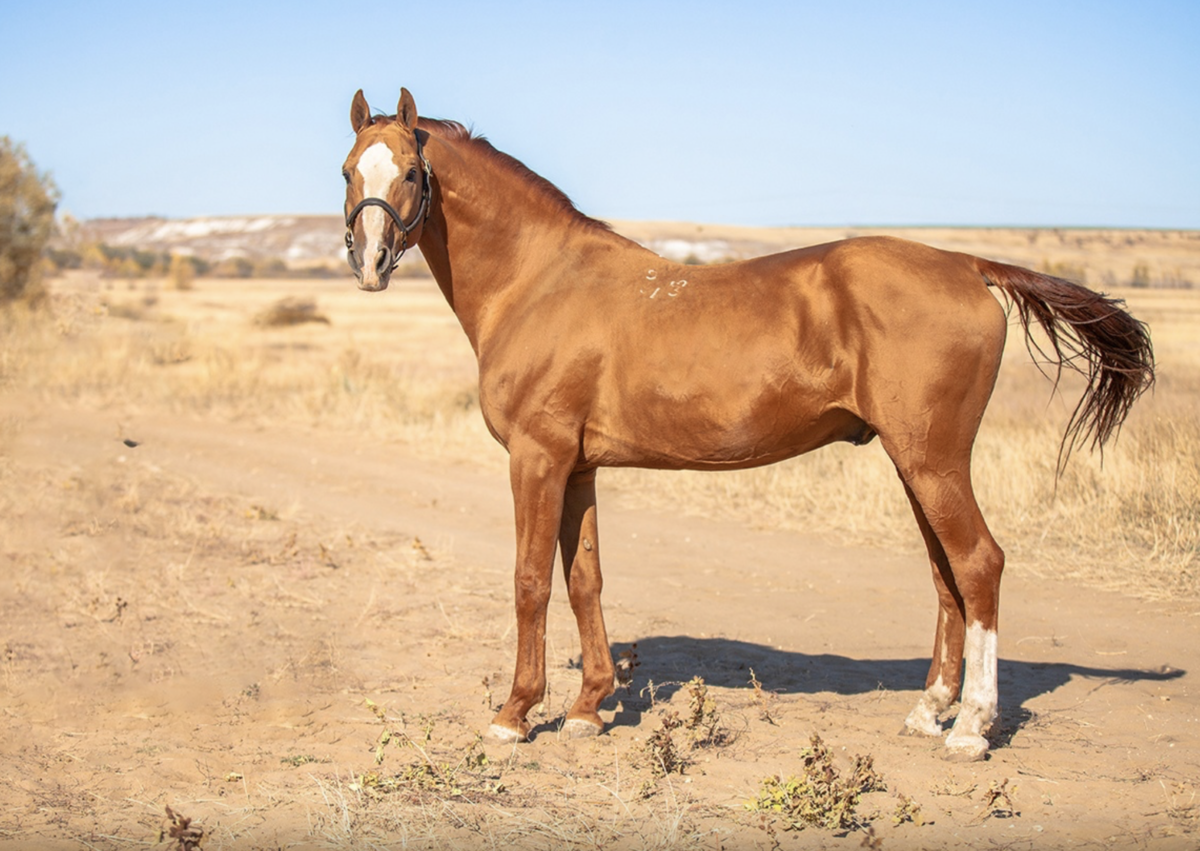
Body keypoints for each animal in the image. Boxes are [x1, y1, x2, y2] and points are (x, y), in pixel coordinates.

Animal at [340, 89, 1152, 758]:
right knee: (946, 573)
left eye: (410, 173)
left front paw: (515, 714)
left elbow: (531, 581)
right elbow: (585, 580)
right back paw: (930, 710)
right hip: (915, 462)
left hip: (933, 459)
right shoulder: (578, 466)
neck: (540, 280)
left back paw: (973, 726)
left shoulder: (536, 459)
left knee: (979, 563)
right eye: (348, 170)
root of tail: (967, 263)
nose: (370, 262)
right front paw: (588, 707)